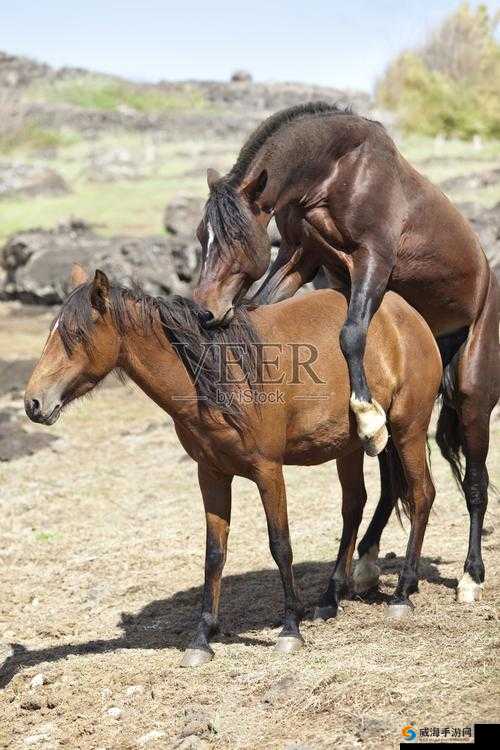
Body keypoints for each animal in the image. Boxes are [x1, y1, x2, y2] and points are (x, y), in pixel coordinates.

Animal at [25, 266, 441, 666]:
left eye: (75, 335)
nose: (33, 403)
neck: (220, 376)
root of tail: (406, 314)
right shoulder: (211, 475)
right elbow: (214, 554)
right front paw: (202, 638)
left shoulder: (268, 471)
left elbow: (280, 545)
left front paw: (290, 629)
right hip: (349, 446)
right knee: (354, 506)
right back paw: (330, 599)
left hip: (409, 429)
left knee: (422, 494)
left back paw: (402, 594)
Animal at [192, 102, 499, 604]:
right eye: (203, 235)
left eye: (235, 237)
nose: (205, 311)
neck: (336, 171)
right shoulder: (300, 256)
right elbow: (262, 306)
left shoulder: (374, 258)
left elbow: (352, 333)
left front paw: (366, 414)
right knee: (395, 484)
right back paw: (367, 563)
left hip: (473, 398)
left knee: (474, 484)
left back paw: (471, 577)